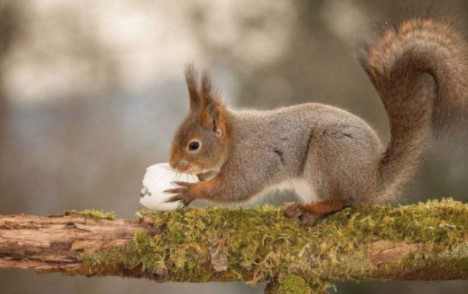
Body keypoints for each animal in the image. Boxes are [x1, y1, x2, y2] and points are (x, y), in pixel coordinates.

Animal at [165, 19, 468, 225]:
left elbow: (236, 188)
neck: (234, 137)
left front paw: (191, 189)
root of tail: (372, 179)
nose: (173, 164)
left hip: (329, 154)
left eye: (193, 145)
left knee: (341, 201)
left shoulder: (251, 159)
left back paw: (309, 210)